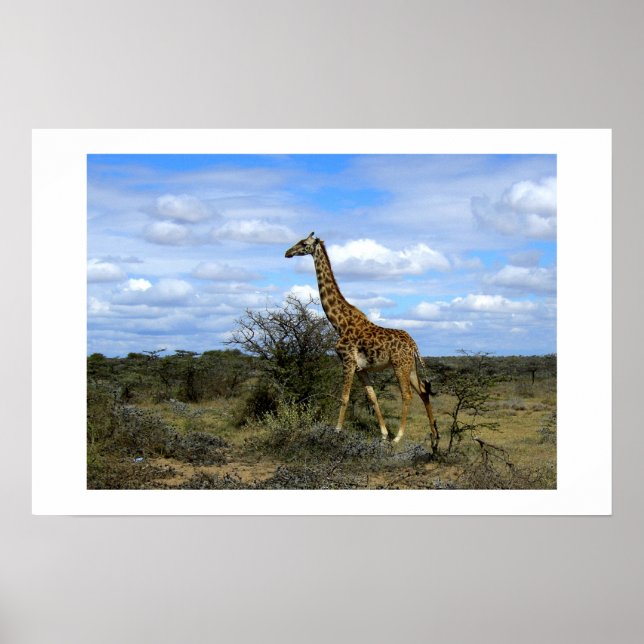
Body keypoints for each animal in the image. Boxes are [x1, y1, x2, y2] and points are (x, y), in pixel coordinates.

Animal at [285, 232, 440, 450]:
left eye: (303, 243)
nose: (287, 252)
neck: (339, 323)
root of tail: (413, 344)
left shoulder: (348, 361)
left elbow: (344, 396)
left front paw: (336, 432)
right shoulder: (361, 368)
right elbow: (372, 397)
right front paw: (383, 434)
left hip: (399, 365)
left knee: (407, 395)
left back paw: (399, 437)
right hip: (410, 366)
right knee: (424, 391)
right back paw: (435, 435)